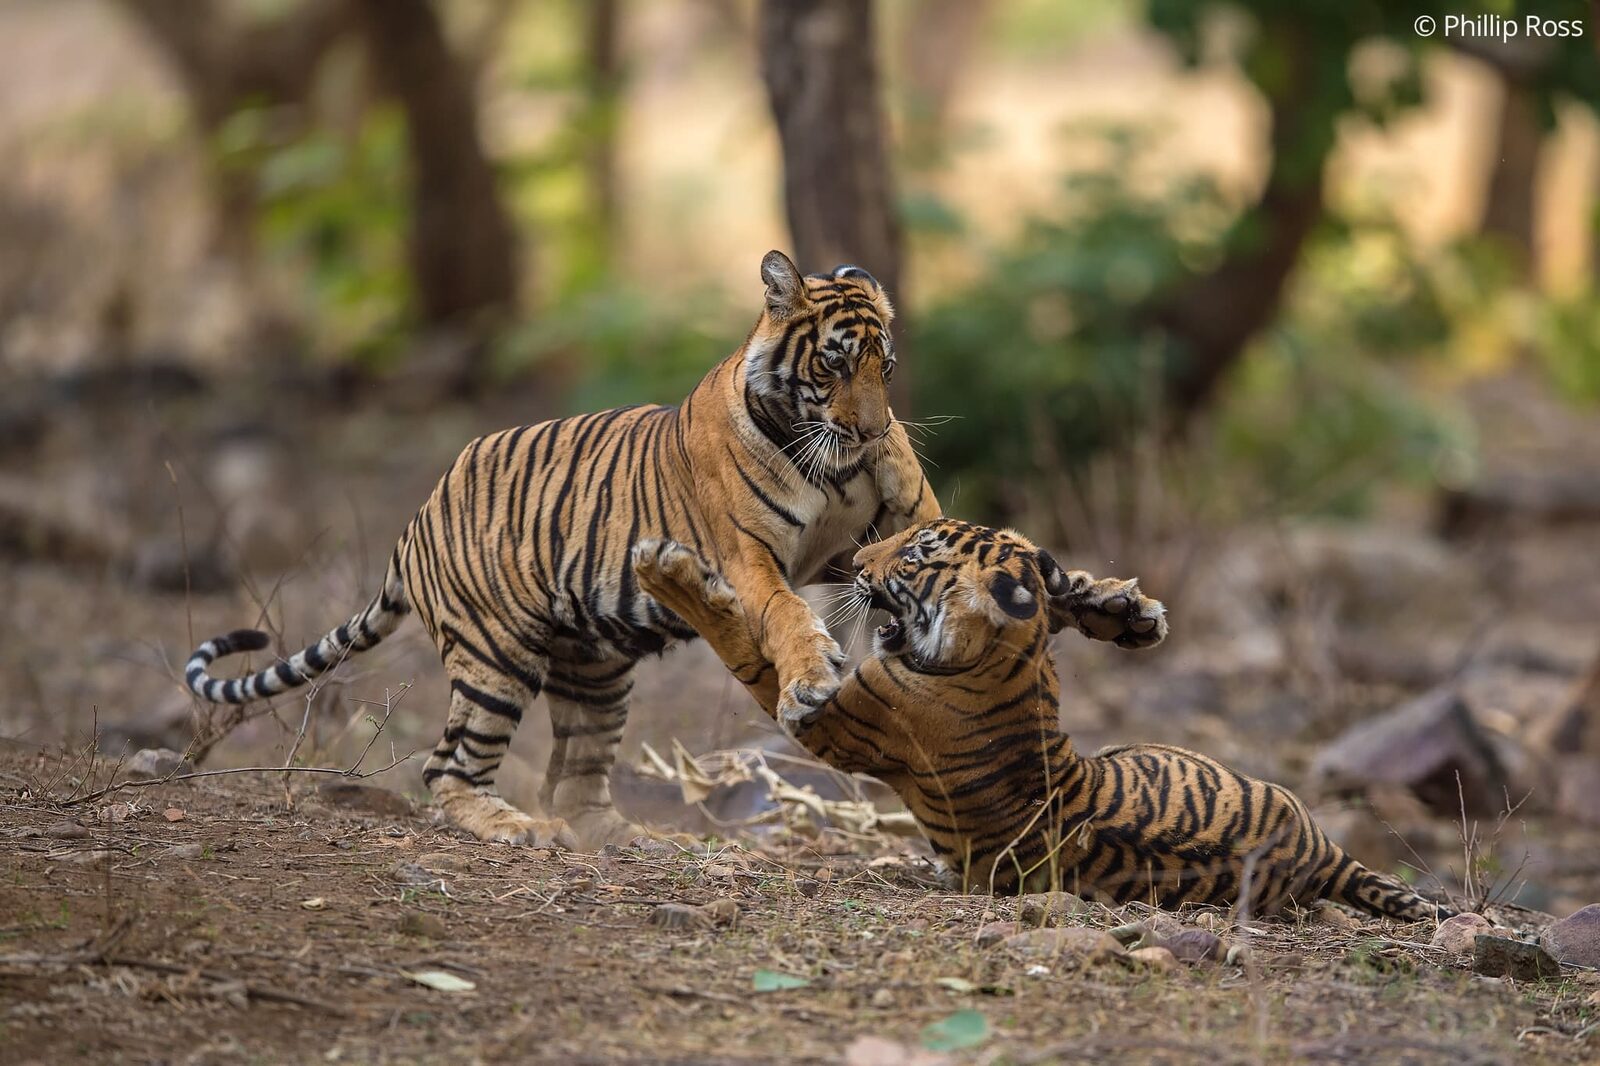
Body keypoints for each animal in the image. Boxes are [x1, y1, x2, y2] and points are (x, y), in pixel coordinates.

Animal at [184, 251, 939, 849]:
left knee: (573, 780)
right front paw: (811, 676)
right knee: (447, 766)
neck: (827, 464)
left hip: (595, 671)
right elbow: (786, 614)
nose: (872, 431)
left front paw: (902, 474)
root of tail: (416, 522)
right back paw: (516, 828)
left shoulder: (851, 548)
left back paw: (634, 839)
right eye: (835, 364)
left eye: (886, 368)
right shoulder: (750, 559)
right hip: (495, 658)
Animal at [630, 520, 1452, 921]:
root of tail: (1321, 852)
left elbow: (748, 650)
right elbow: (1053, 588)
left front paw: (668, 572)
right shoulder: (1038, 624)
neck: (1007, 658)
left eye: (915, 555)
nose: (854, 561)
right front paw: (1122, 609)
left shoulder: (842, 723)